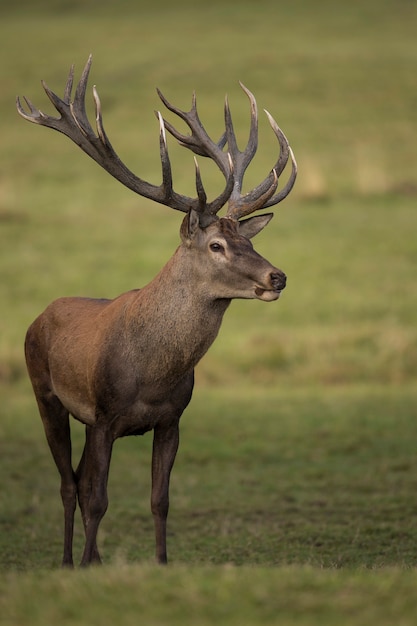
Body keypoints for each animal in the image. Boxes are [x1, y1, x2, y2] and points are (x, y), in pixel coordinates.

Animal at [16, 56, 296, 564]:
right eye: (216, 245)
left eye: (249, 241)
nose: (276, 277)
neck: (151, 373)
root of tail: (41, 314)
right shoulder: (105, 416)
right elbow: (99, 498)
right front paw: (85, 564)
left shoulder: (171, 419)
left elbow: (159, 500)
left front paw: (160, 563)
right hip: (44, 392)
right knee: (68, 484)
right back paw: (68, 561)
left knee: (78, 479)